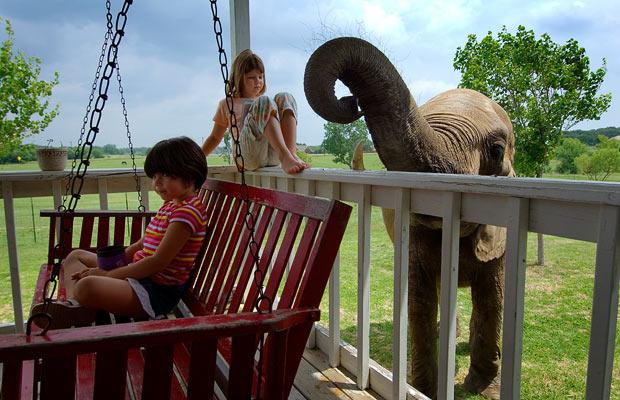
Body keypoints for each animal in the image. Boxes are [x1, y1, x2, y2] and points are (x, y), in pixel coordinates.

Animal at [302, 36, 516, 398]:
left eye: (497, 150)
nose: (350, 102)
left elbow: (492, 298)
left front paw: (479, 387)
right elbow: (420, 301)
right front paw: (424, 389)